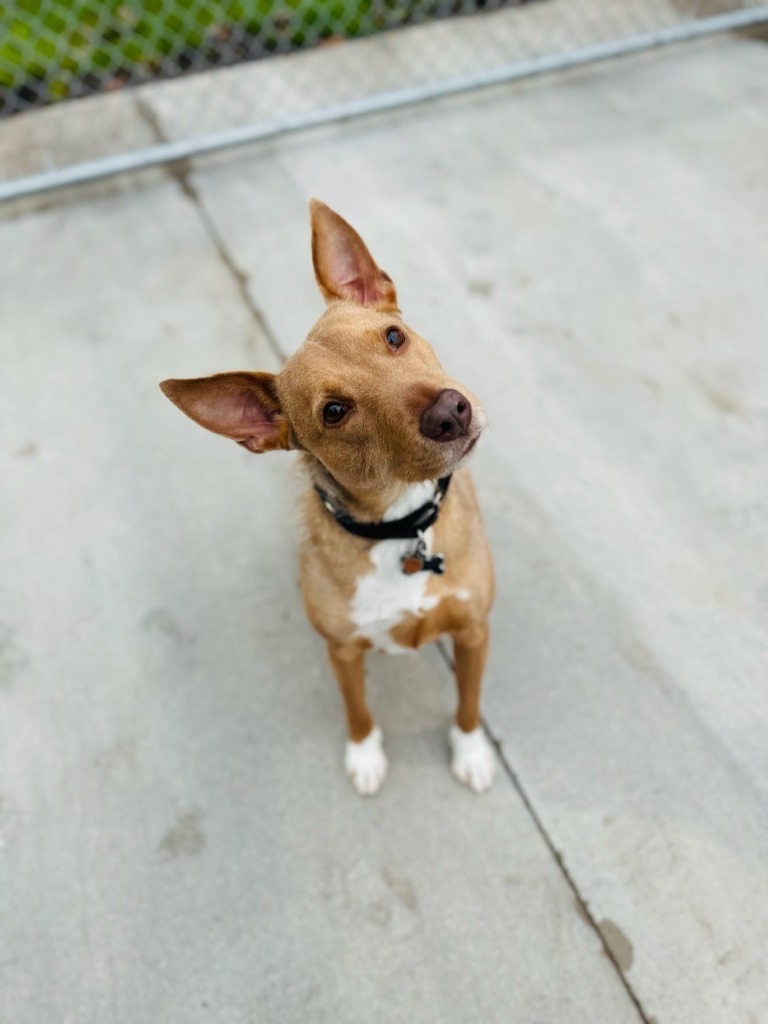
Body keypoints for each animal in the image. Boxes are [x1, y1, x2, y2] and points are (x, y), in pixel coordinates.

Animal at [162, 197, 499, 790]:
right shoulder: (341, 651)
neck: (397, 529)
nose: (450, 412)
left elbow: (468, 702)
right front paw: (364, 755)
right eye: (335, 411)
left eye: (393, 337)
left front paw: (471, 750)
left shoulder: (474, 630)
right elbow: (357, 709)